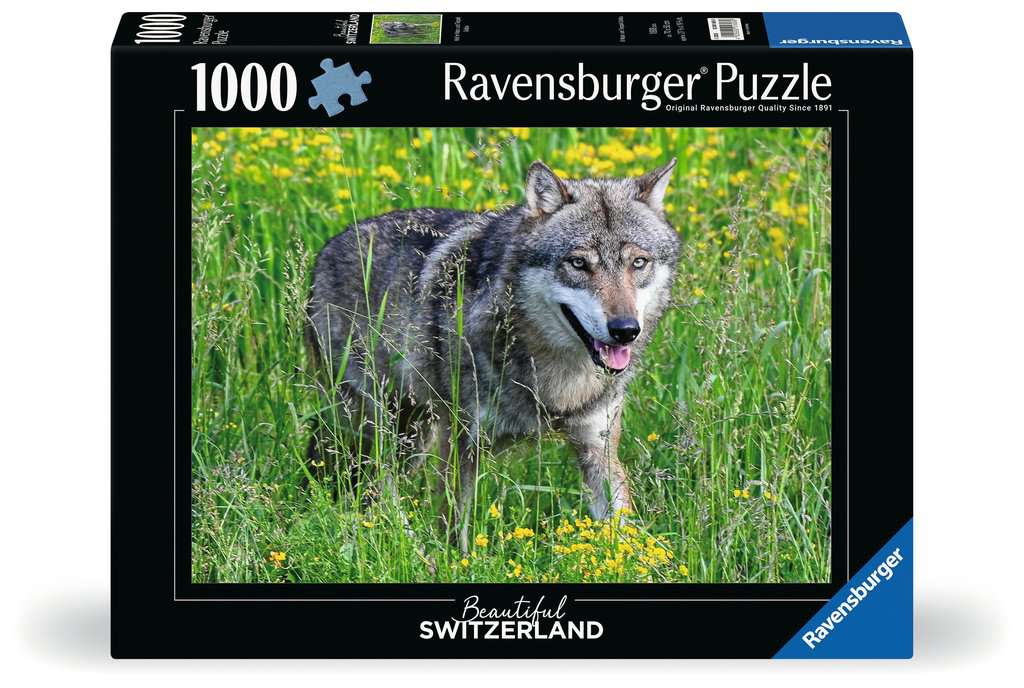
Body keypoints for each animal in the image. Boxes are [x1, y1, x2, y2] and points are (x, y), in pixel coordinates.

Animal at [305, 159, 680, 549]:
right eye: (578, 263)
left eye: (638, 263)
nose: (625, 329)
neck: (557, 377)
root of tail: (326, 251)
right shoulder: (460, 443)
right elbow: (453, 528)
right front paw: (453, 560)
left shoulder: (598, 447)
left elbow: (624, 535)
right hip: (381, 428)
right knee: (372, 485)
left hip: (413, 437)